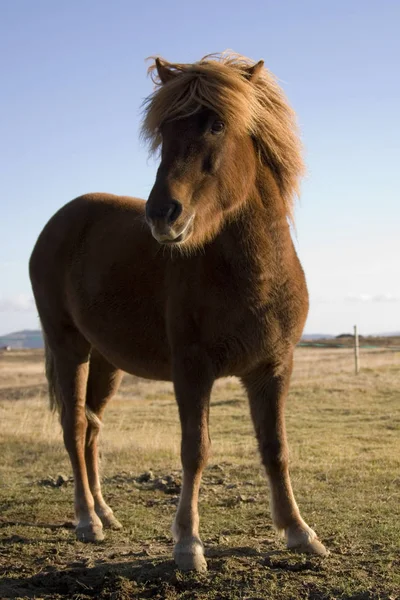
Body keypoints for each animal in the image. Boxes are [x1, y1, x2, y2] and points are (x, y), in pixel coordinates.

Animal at [28, 52, 328, 572]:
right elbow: (195, 450)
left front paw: (298, 531)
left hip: (106, 361)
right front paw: (188, 543)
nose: (161, 214)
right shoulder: (192, 369)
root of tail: (59, 221)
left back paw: (106, 512)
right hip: (69, 348)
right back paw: (87, 521)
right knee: (74, 426)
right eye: (164, 129)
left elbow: (276, 449)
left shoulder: (274, 368)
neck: (251, 275)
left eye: (217, 125)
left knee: (92, 428)